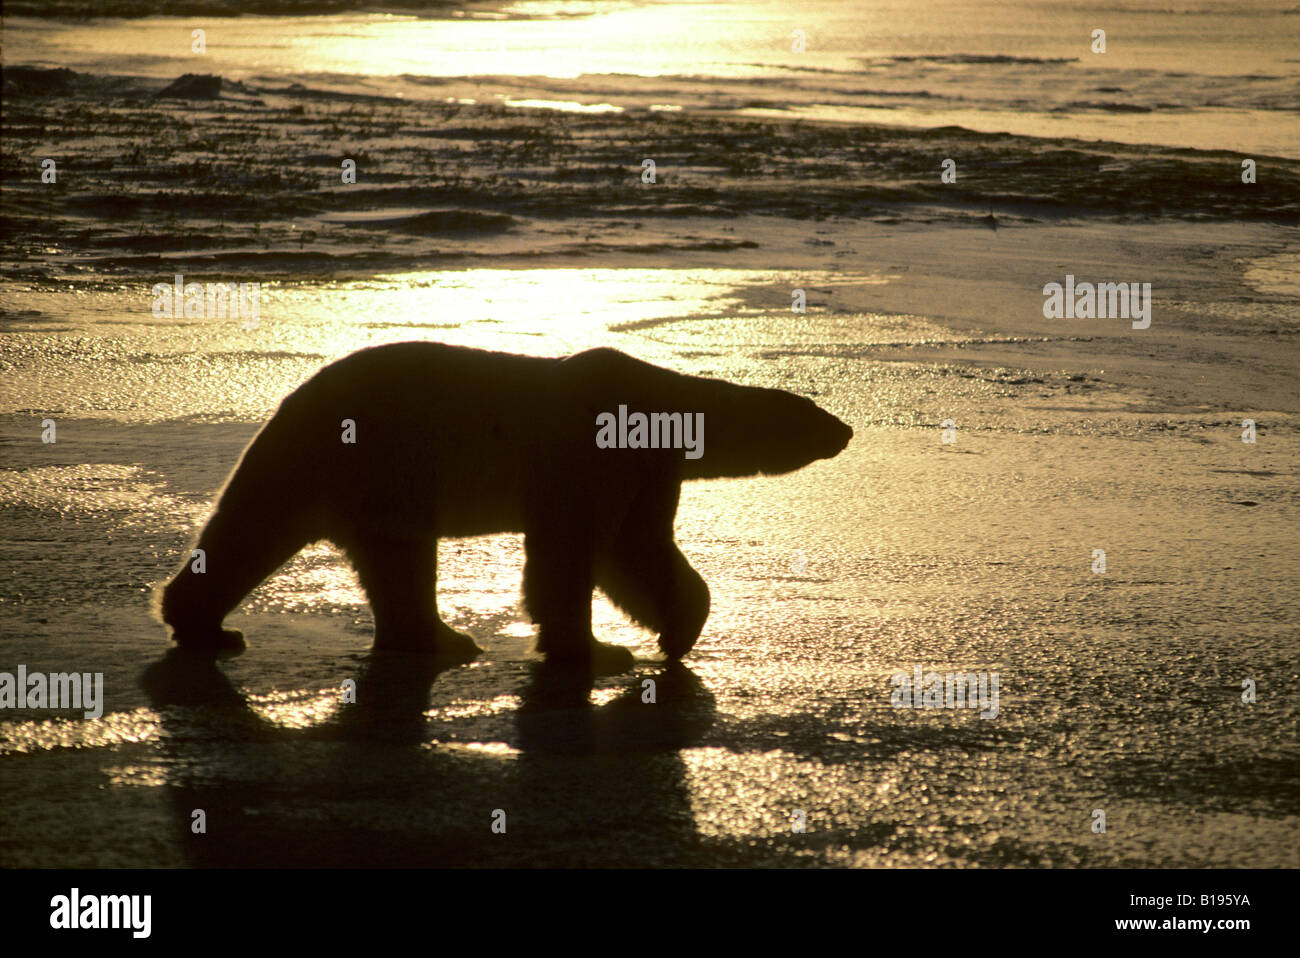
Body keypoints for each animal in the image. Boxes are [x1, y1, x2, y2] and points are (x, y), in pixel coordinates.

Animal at [159, 343, 852, 670]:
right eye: (815, 410)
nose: (846, 429)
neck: (655, 408)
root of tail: (288, 402)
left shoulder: (648, 473)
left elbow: (638, 550)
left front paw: (676, 630)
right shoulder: (589, 458)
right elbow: (573, 552)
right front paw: (596, 649)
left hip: (376, 487)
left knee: (393, 561)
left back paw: (437, 638)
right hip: (342, 456)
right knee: (257, 523)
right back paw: (205, 624)